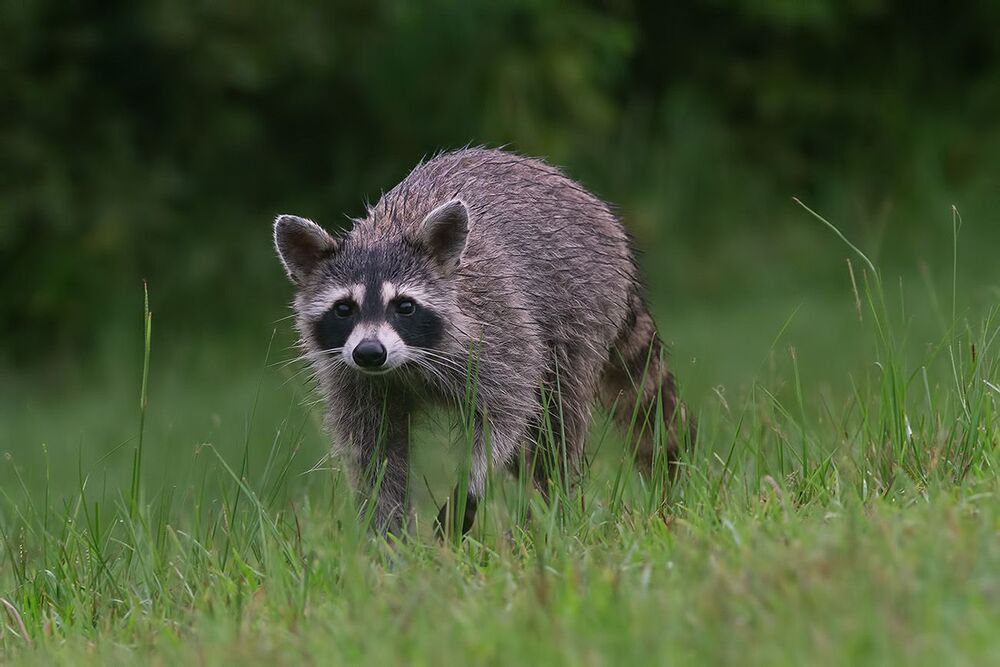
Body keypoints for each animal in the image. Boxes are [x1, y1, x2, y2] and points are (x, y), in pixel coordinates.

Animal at [274, 147, 692, 535]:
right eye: (344, 308)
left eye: (404, 306)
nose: (370, 353)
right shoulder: (351, 377)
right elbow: (375, 451)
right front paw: (389, 537)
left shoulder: (499, 333)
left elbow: (507, 414)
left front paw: (471, 485)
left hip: (583, 307)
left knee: (558, 419)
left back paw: (548, 508)